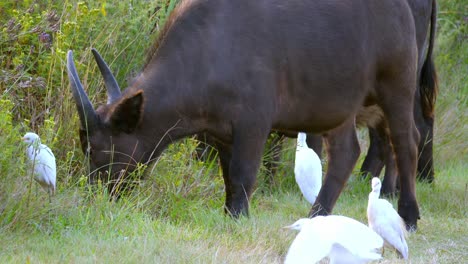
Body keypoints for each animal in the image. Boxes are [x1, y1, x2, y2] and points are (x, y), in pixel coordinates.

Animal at [68, 0, 420, 229]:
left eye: (98, 150)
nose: (95, 194)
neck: (210, 51)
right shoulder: (222, 134)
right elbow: (229, 178)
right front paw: (230, 214)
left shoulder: (254, 125)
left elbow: (243, 174)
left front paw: (238, 218)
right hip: (339, 106)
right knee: (347, 152)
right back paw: (316, 216)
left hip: (398, 86)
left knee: (406, 143)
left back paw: (409, 214)